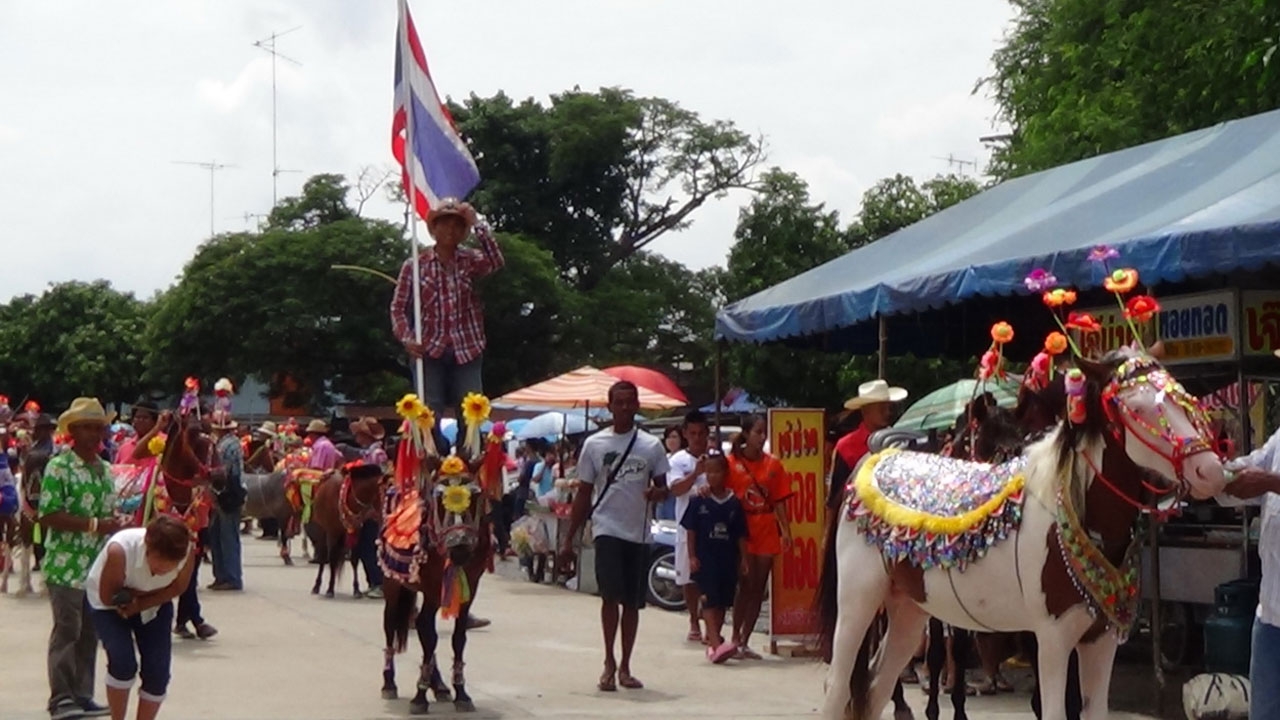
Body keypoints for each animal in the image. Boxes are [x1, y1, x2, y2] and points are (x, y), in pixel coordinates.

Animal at [373, 392, 499, 712]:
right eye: (438, 497)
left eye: (475, 496)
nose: (460, 547)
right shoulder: (429, 588)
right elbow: (427, 636)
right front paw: (419, 696)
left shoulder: (469, 587)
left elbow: (456, 638)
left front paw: (460, 691)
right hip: (393, 584)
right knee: (392, 626)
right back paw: (390, 683)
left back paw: (439, 686)